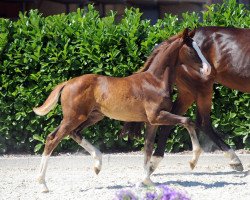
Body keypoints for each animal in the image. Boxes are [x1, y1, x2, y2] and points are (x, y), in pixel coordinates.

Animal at [32, 29, 206, 192]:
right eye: (192, 51)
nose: (207, 70)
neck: (155, 81)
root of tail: (67, 83)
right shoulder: (157, 116)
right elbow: (188, 121)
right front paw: (193, 161)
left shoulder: (152, 122)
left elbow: (148, 148)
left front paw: (146, 181)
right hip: (74, 117)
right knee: (52, 138)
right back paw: (42, 184)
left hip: (92, 116)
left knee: (74, 133)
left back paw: (97, 165)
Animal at [124, 26, 249, 177]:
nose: (207, 68)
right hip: (201, 89)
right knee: (203, 123)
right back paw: (234, 159)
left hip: (188, 93)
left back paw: (154, 162)